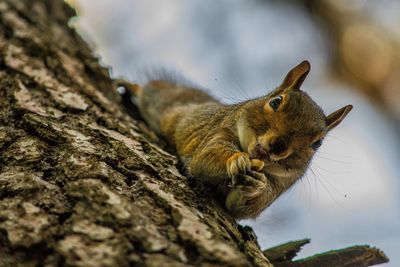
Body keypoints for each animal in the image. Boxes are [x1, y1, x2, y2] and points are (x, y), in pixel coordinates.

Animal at [117, 61, 352, 221]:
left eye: (317, 143)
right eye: (276, 101)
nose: (278, 145)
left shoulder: (280, 184)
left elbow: (243, 209)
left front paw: (257, 184)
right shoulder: (221, 131)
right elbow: (205, 159)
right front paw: (235, 160)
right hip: (162, 103)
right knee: (149, 90)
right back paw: (128, 85)